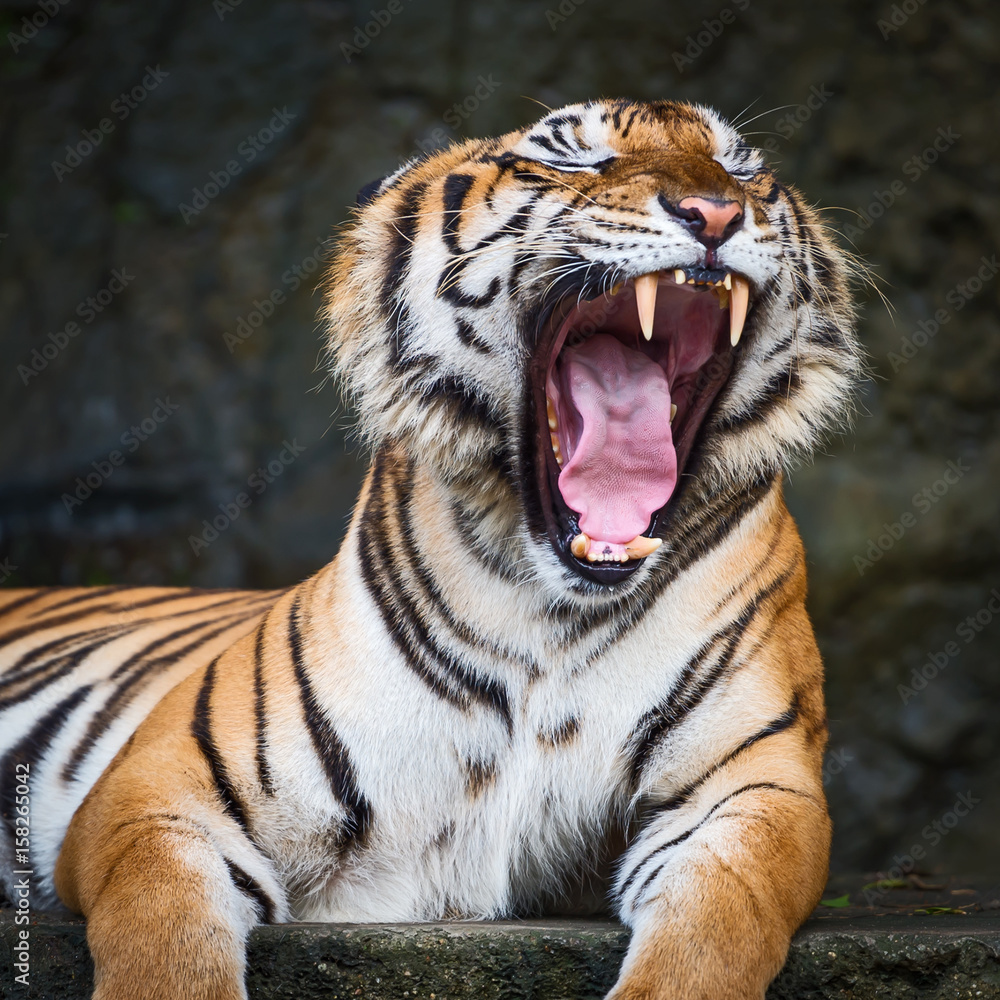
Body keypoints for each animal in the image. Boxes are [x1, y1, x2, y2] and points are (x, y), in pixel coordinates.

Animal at [0, 98, 859, 1000]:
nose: (716, 213)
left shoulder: (753, 781)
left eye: (740, 167)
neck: (550, 612)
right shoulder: (159, 787)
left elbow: (713, 928)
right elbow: (163, 936)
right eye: (575, 157)